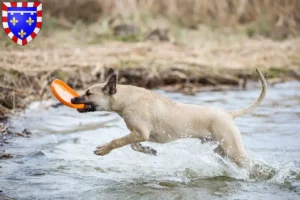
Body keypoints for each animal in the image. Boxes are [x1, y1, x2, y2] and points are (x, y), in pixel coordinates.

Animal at [71, 68, 268, 166]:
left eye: (88, 93)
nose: (72, 99)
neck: (126, 99)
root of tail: (228, 114)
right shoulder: (137, 134)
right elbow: (133, 145)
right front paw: (147, 150)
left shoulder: (140, 132)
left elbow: (117, 141)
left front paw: (104, 149)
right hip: (223, 149)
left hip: (234, 151)